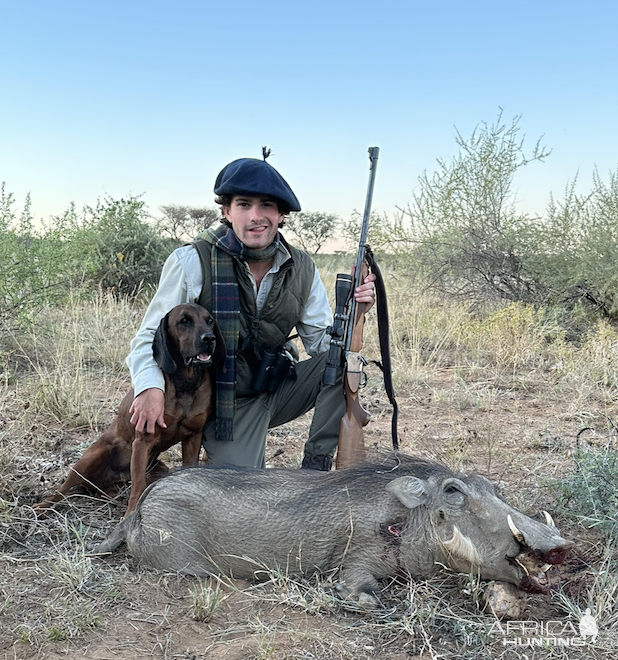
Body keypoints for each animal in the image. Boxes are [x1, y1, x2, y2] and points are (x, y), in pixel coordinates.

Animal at [34, 304, 224, 516]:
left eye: (210, 320)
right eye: (184, 321)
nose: (209, 338)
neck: (185, 383)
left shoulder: (193, 437)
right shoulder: (143, 440)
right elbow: (138, 486)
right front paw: (131, 515)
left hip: (158, 469)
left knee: (107, 490)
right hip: (89, 460)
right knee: (62, 490)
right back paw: (42, 506)